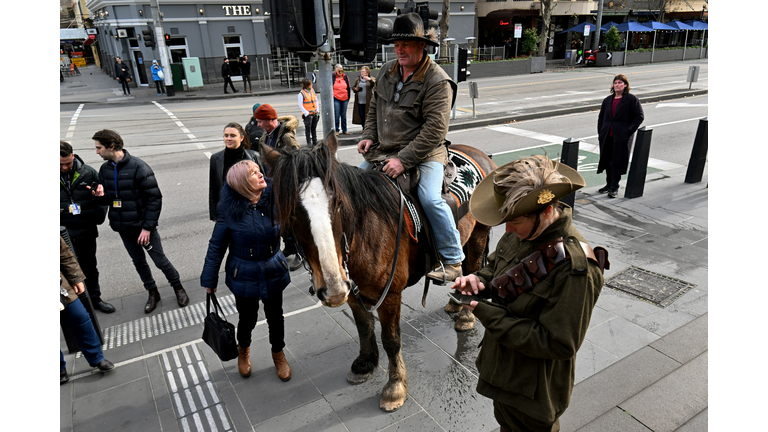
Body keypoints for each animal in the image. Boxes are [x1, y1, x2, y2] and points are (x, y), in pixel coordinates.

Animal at [260, 134, 496, 412]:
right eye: (292, 212)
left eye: (338, 203)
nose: (333, 288)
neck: (365, 230)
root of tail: (480, 154)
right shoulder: (353, 291)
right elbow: (364, 327)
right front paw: (365, 363)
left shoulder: (390, 294)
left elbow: (391, 339)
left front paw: (395, 387)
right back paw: (454, 303)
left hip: (479, 234)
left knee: (474, 268)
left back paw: (466, 316)